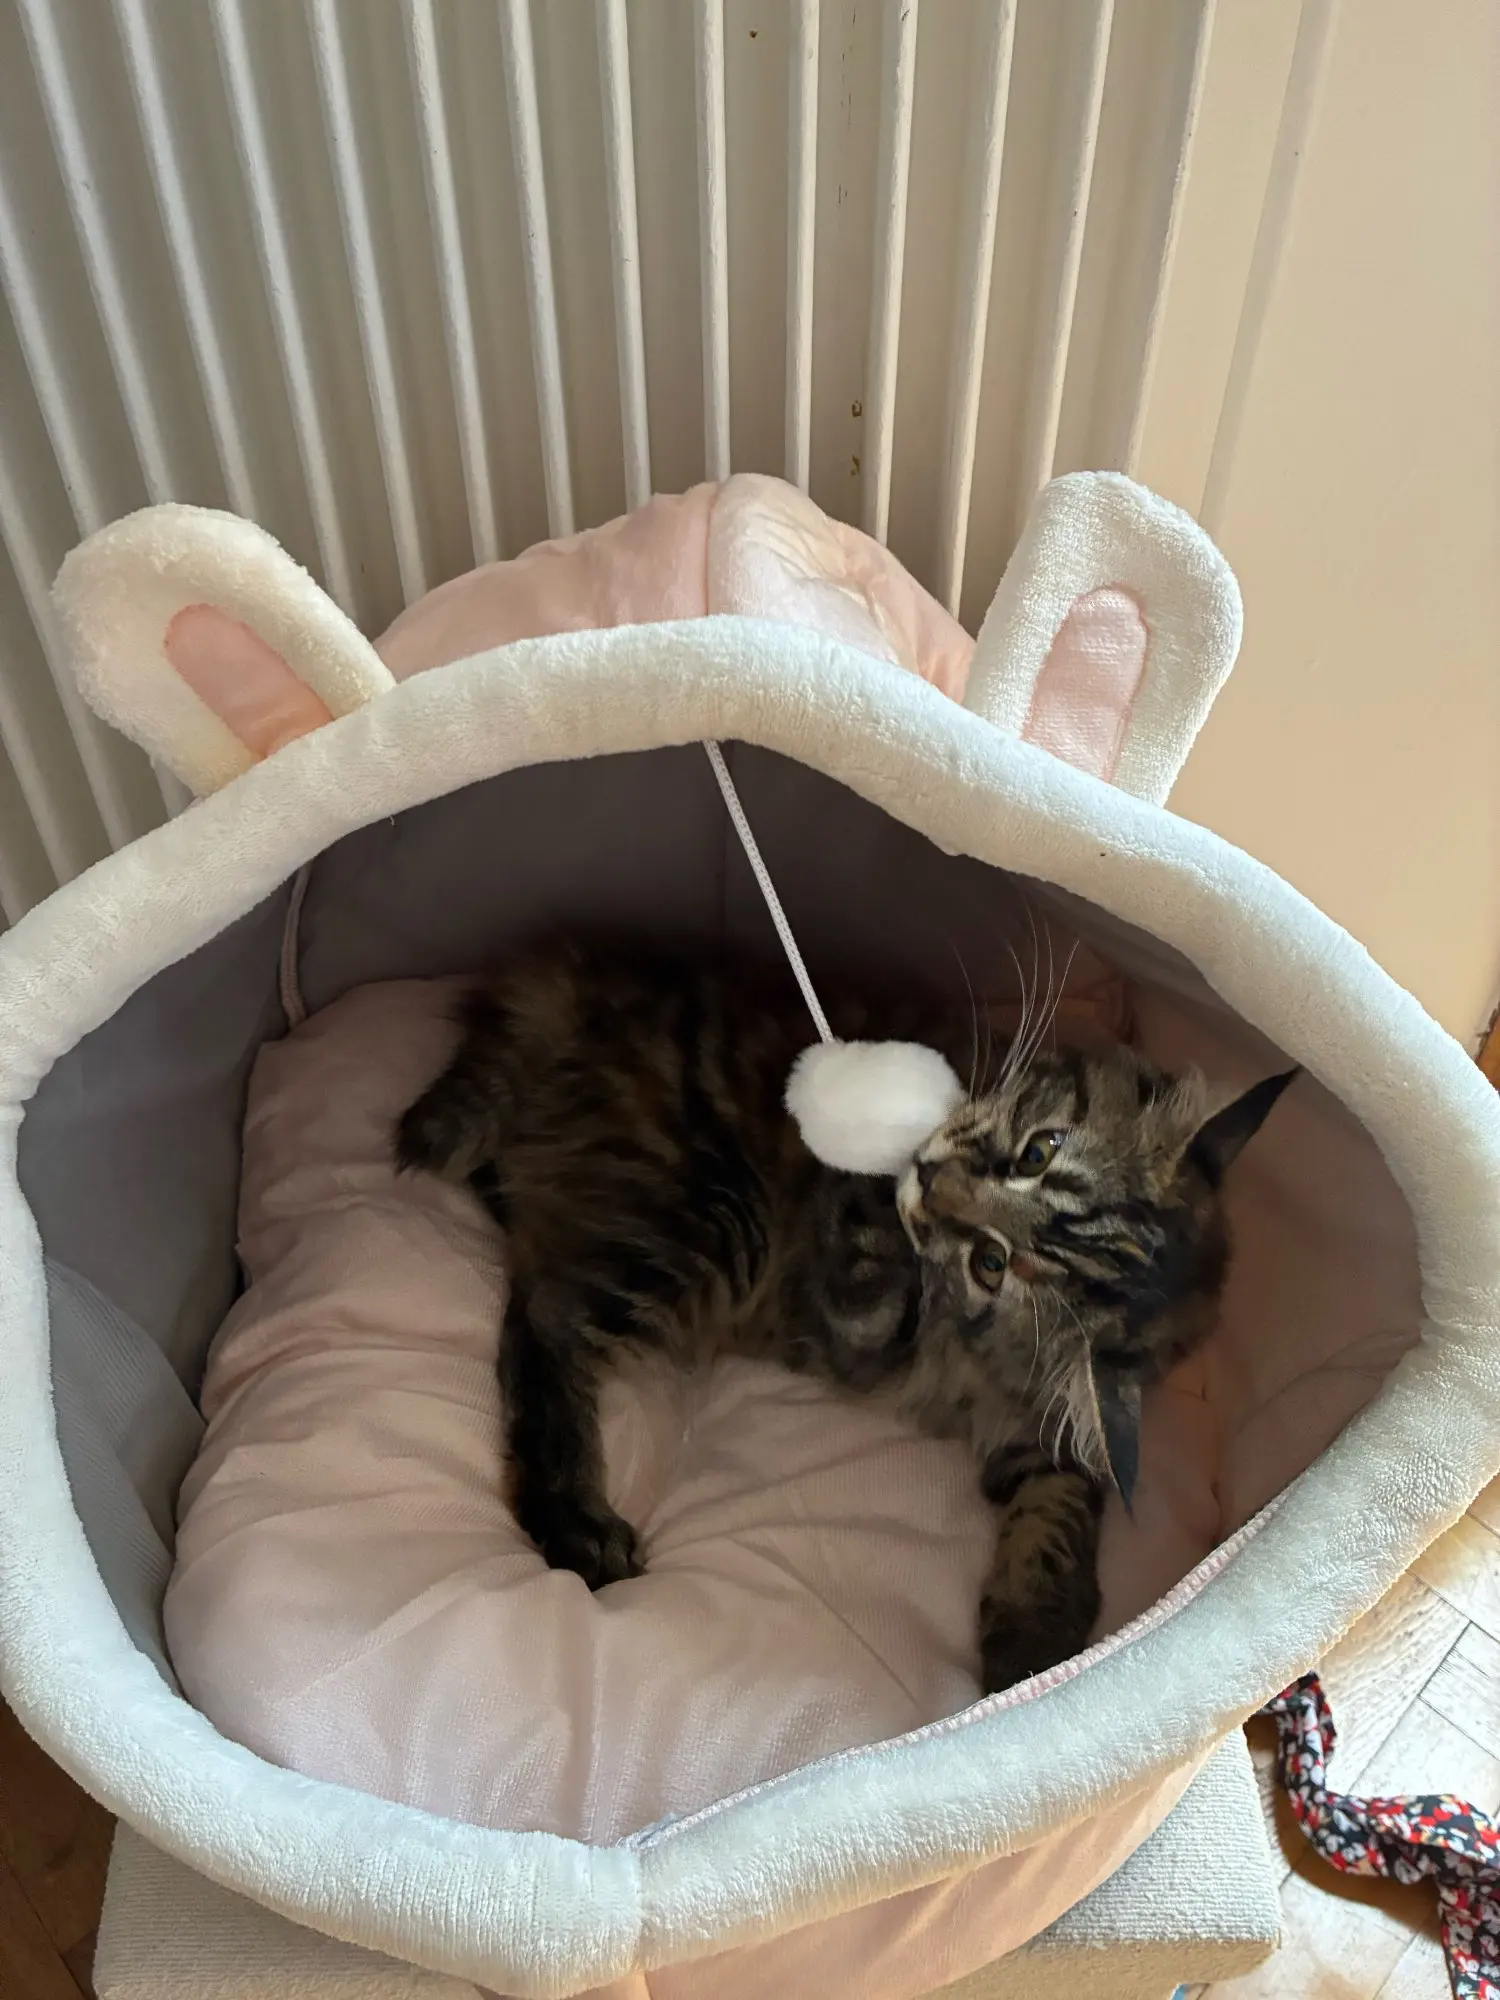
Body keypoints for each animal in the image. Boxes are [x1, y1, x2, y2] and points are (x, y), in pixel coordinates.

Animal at [395, 935, 1294, 1692]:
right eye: (1039, 1150)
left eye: (993, 1266)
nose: (929, 1177)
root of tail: (574, 984)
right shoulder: (850, 1312)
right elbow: (869, 1266)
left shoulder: (1037, 1432)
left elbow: (1061, 1510)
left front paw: (1035, 1638)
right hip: (708, 1226)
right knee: (543, 1328)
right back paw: (575, 1522)